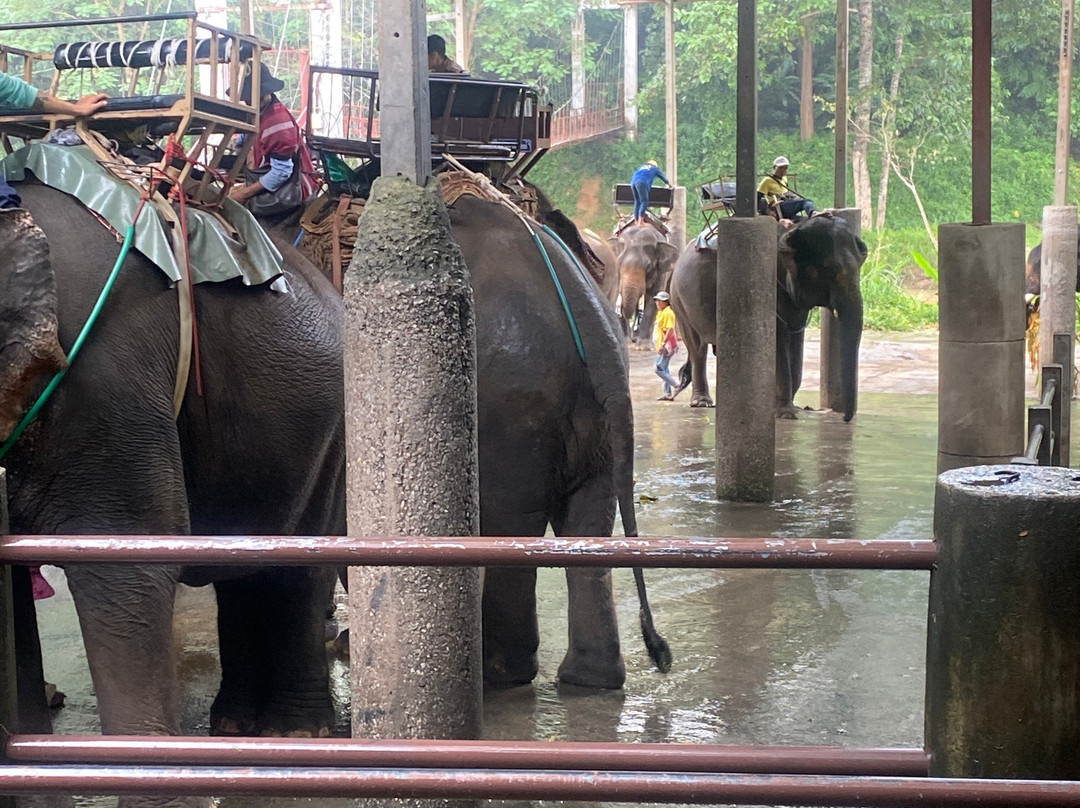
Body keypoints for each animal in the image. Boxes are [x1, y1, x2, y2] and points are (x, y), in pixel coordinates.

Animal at [669, 215, 867, 420]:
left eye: (863, 260)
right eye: (828, 268)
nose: (845, 418)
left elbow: (795, 342)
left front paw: (781, 408)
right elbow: (778, 343)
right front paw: (786, 414)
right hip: (678, 301)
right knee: (697, 347)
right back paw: (702, 402)